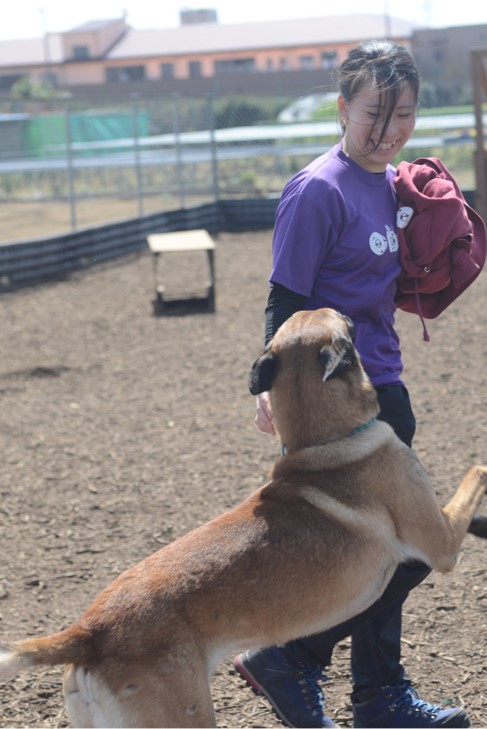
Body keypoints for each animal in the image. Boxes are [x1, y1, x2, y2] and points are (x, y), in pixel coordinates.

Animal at [0, 308, 487, 728]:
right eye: (338, 318)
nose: (353, 309)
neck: (327, 441)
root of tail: (89, 630)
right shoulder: (440, 543)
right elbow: (477, 469)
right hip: (186, 717)